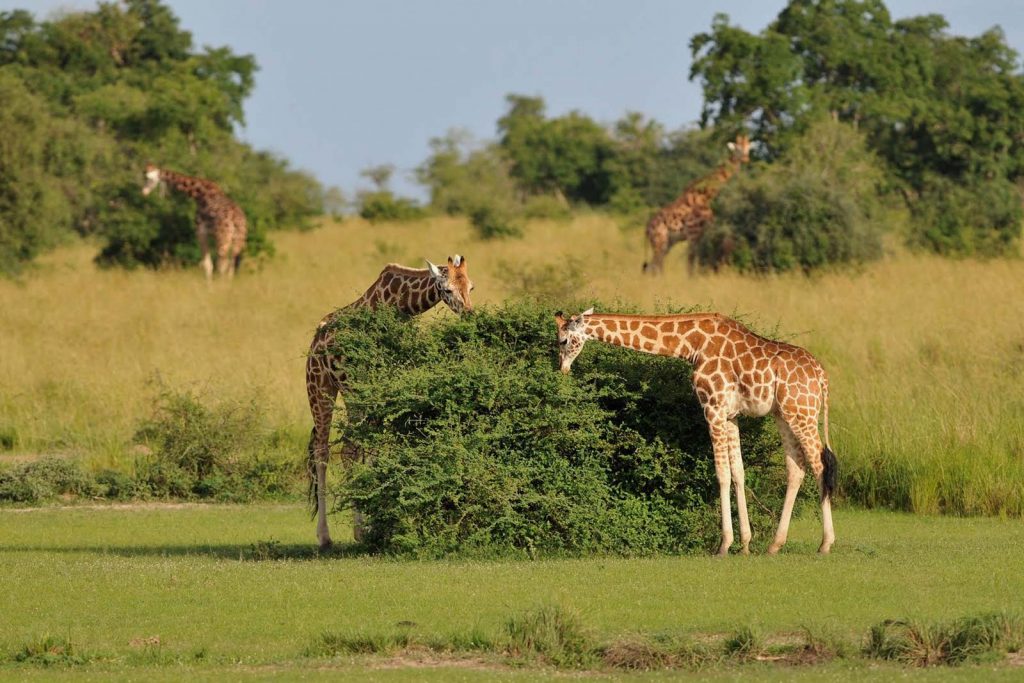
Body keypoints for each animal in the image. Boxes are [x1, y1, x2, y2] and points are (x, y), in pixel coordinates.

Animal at [301, 255, 473, 548]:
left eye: (471, 287)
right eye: (448, 290)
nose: (472, 315)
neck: (397, 305)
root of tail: (315, 342)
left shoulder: (386, 386)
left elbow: (373, 451)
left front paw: (381, 523)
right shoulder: (365, 384)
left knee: (351, 449)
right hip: (322, 387)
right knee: (325, 452)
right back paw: (326, 536)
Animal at [557, 309, 835, 557]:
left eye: (563, 340)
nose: (562, 369)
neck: (692, 345)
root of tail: (822, 377)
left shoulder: (712, 407)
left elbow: (722, 474)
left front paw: (724, 545)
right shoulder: (730, 415)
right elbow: (738, 472)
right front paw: (745, 544)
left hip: (802, 413)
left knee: (820, 465)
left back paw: (825, 543)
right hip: (784, 414)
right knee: (797, 468)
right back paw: (775, 545)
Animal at [638, 132, 753, 274]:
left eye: (749, 148)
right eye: (737, 148)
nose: (746, 159)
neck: (707, 195)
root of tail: (646, 229)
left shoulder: (701, 235)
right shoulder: (694, 234)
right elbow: (691, 263)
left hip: (667, 243)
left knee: (652, 267)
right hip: (660, 241)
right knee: (655, 267)